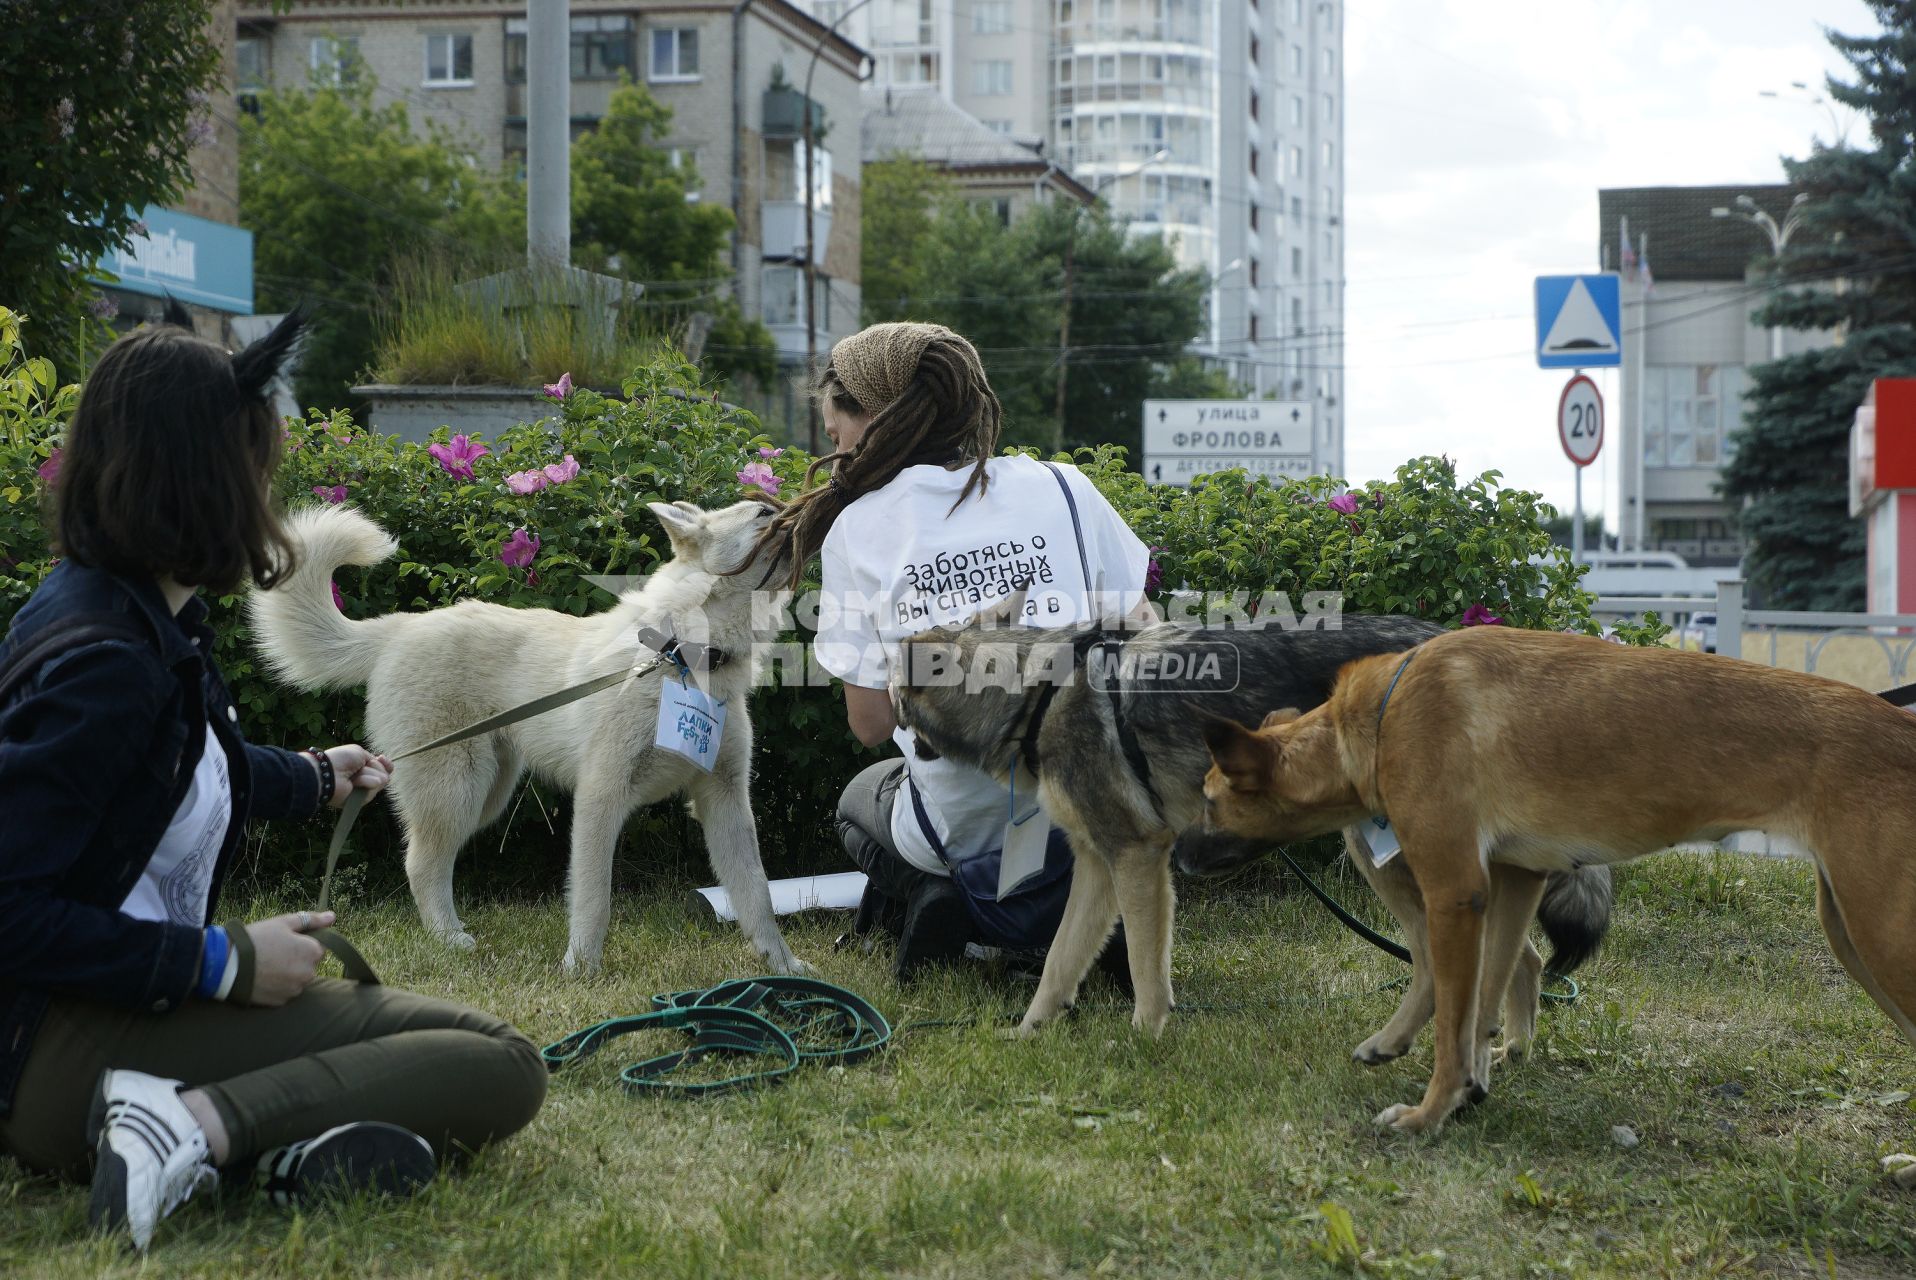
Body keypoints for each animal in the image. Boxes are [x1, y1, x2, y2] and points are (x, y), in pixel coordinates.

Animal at [245, 498, 800, 969]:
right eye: (763, 514)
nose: (801, 510)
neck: (682, 657)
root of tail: (400, 628)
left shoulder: (726, 800)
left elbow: (757, 895)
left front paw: (784, 966)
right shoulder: (601, 798)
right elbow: (593, 898)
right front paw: (582, 969)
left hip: (488, 791)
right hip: (456, 790)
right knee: (421, 865)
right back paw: (450, 940)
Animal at [889, 605, 1609, 1042]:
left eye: (894, 698)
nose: (891, 743)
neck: (1036, 691)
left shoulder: (1138, 859)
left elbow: (1145, 972)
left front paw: (1143, 1040)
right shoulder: (1100, 867)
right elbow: (1057, 967)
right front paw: (1027, 1037)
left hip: (1396, 862)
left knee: (1481, 961)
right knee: (1521, 960)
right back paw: (1504, 1052)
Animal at [1164, 624, 1916, 1134]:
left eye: (1208, 800)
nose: (1173, 858)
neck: (1383, 713)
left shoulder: (1455, 892)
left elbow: (1455, 1020)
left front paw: (1428, 1114)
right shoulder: (1514, 883)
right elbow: (1486, 1002)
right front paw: (1469, 1089)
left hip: (1880, 939)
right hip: (1852, 935)